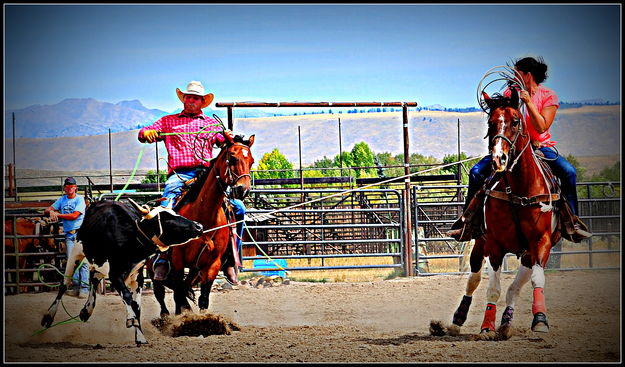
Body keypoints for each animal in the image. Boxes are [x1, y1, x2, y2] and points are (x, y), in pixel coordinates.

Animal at [148, 133, 254, 316]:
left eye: (252, 161)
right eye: (232, 157)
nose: (243, 190)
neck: (204, 217)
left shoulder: (212, 263)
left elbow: (202, 298)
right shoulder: (177, 259)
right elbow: (179, 294)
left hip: (195, 269)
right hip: (152, 268)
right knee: (160, 292)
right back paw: (164, 315)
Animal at [434, 87, 560, 340]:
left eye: (515, 121)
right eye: (490, 123)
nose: (498, 158)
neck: (518, 191)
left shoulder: (540, 242)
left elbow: (535, 280)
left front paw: (540, 320)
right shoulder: (495, 245)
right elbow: (492, 288)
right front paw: (486, 327)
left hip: (527, 253)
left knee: (515, 288)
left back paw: (506, 323)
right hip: (480, 243)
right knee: (473, 279)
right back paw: (456, 322)